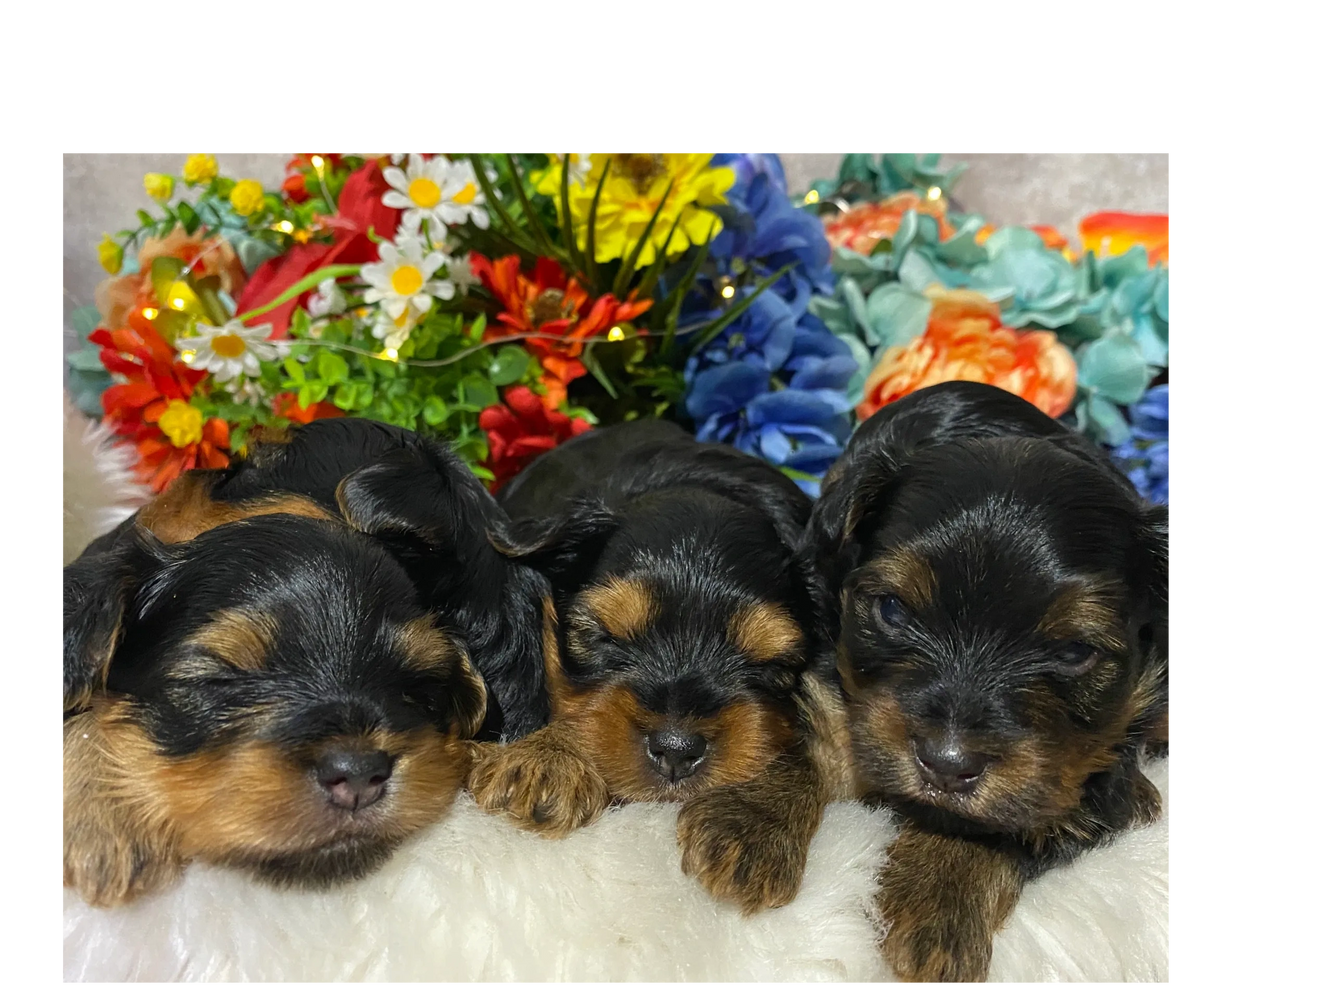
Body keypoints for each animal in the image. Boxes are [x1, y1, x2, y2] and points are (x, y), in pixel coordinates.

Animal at [463, 421, 847, 917]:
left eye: (768, 664)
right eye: (604, 638)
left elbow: (807, 741)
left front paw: (752, 820)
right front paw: (548, 758)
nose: (677, 749)